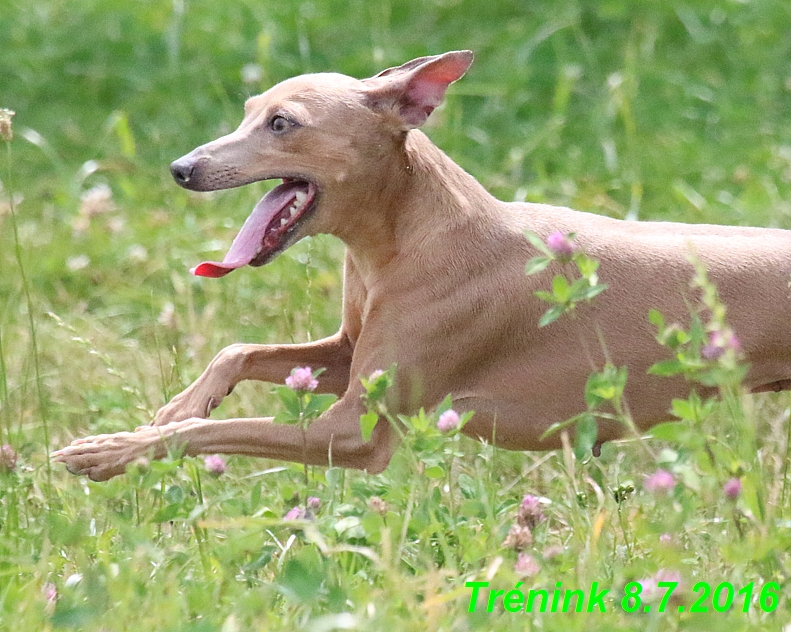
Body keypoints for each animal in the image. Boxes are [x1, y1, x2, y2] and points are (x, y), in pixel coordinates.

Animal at [52, 51, 788, 482]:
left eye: (283, 123)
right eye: (248, 113)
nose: (181, 169)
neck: (404, 241)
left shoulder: (354, 433)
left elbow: (213, 431)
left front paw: (107, 451)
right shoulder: (345, 354)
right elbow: (236, 354)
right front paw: (180, 403)